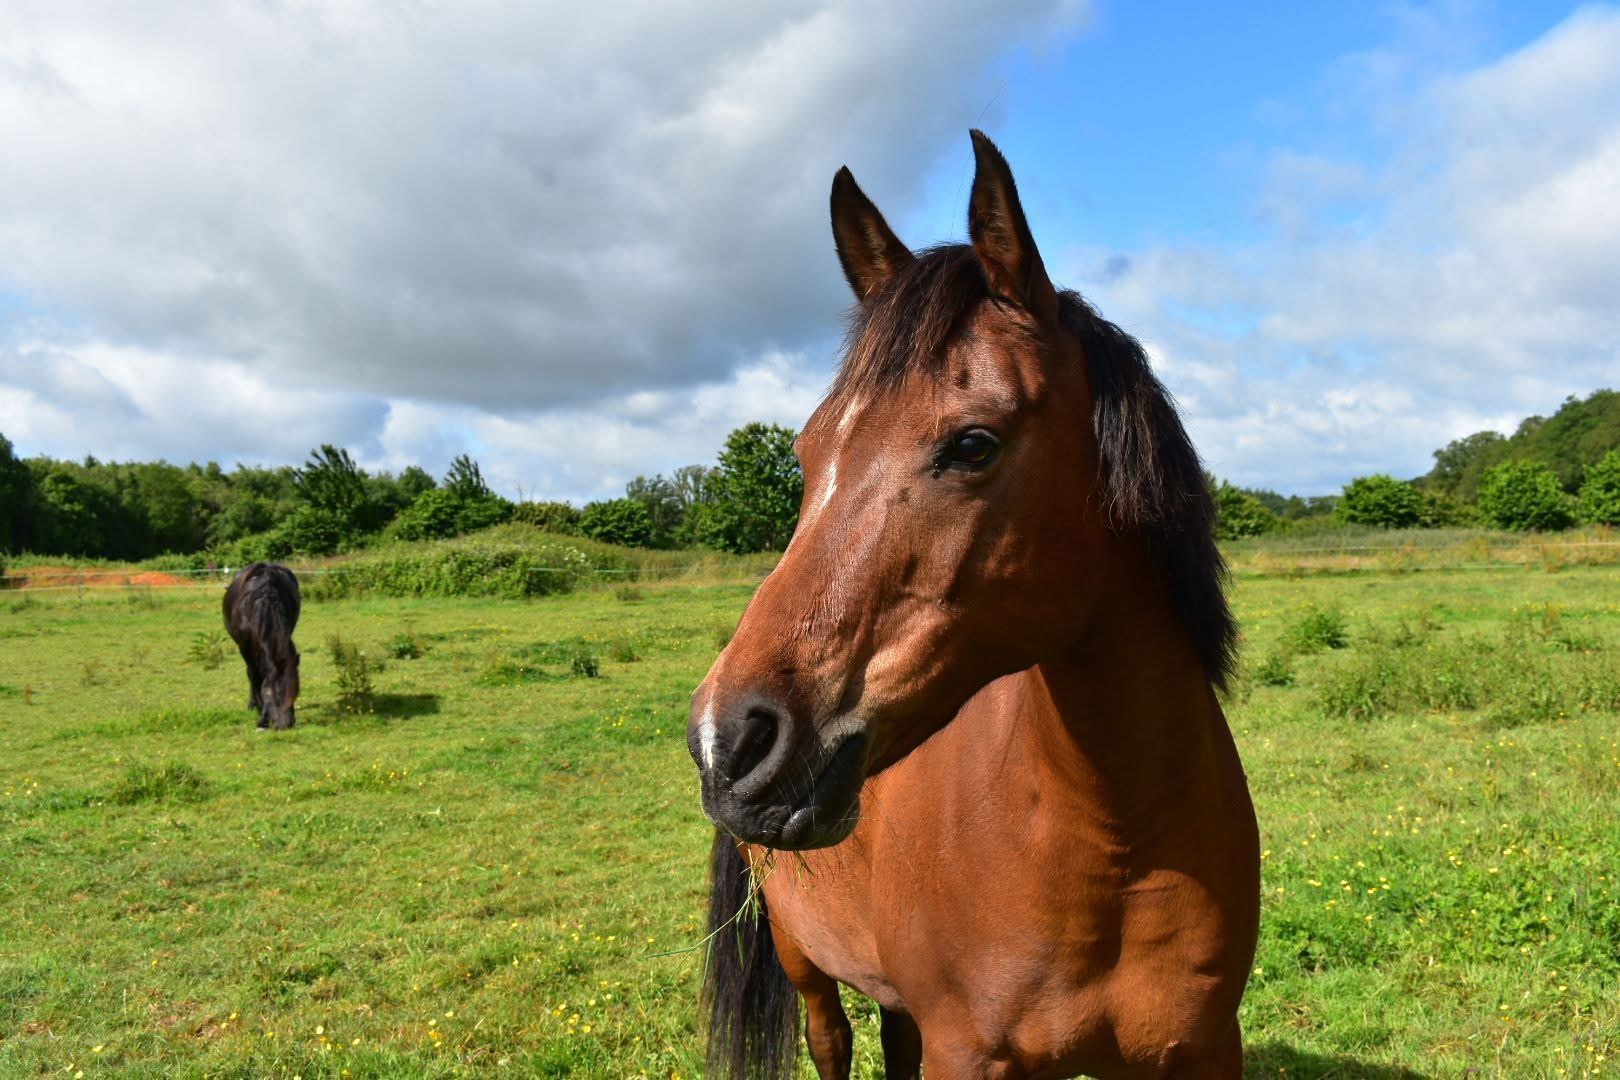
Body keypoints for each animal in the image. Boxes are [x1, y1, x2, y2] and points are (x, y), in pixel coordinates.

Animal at [223, 562, 302, 730]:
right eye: (277, 695)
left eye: (295, 692)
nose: (287, 724)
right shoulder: (244, 647)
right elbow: (255, 676)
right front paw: (262, 716)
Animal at [687, 131, 1259, 1079]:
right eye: (806, 453)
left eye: (974, 444)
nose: (726, 740)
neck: (1117, 846)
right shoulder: (966, 1052)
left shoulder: (1206, 1048)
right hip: (804, 957)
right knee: (830, 1039)